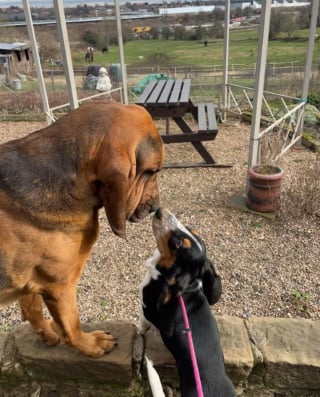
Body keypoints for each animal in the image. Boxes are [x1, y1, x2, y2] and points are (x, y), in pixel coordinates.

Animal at [0, 100, 164, 358]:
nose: (156, 206)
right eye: (151, 171)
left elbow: (31, 308)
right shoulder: (60, 286)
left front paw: (45, 332)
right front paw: (91, 344)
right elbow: (71, 326)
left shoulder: (29, 279)